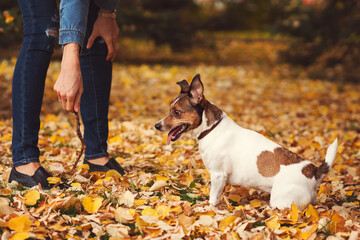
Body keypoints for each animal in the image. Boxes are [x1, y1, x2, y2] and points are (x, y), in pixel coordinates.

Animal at [155, 73, 338, 210]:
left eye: (177, 112)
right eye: (170, 110)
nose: (157, 125)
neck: (211, 129)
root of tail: (313, 171)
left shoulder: (218, 175)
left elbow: (212, 199)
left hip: (281, 201)